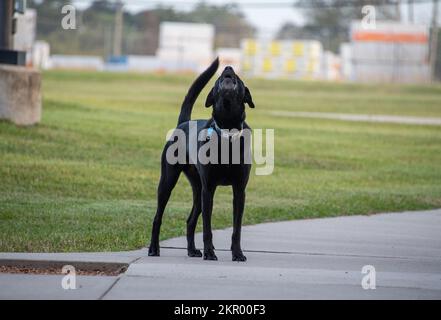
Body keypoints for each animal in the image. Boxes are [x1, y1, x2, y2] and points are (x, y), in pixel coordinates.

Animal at [147, 58, 253, 262]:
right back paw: (154, 249)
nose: (228, 67)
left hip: (197, 189)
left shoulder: (239, 191)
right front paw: (210, 253)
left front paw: (237, 253)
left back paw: (192, 250)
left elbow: (236, 228)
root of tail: (183, 122)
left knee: (190, 220)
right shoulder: (209, 189)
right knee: (157, 217)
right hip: (169, 182)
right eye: (218, 78)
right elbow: (207, 228)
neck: (227, 130)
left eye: (238, 77)